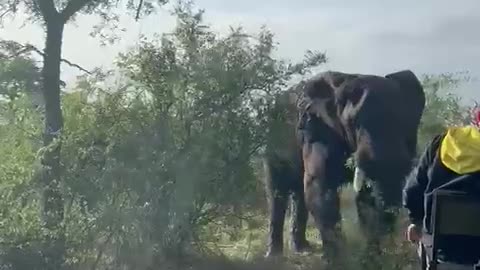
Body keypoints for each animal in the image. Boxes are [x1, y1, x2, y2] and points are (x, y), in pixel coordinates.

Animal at [262, 69, 428, 260]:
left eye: (406, 120)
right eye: (353, 123)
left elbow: (366, 196)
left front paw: (372, 258)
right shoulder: (316, 128)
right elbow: (319, 187)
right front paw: (339, 261)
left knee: (299, 193)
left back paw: (302, 249)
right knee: (277, 192)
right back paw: (273, 255)